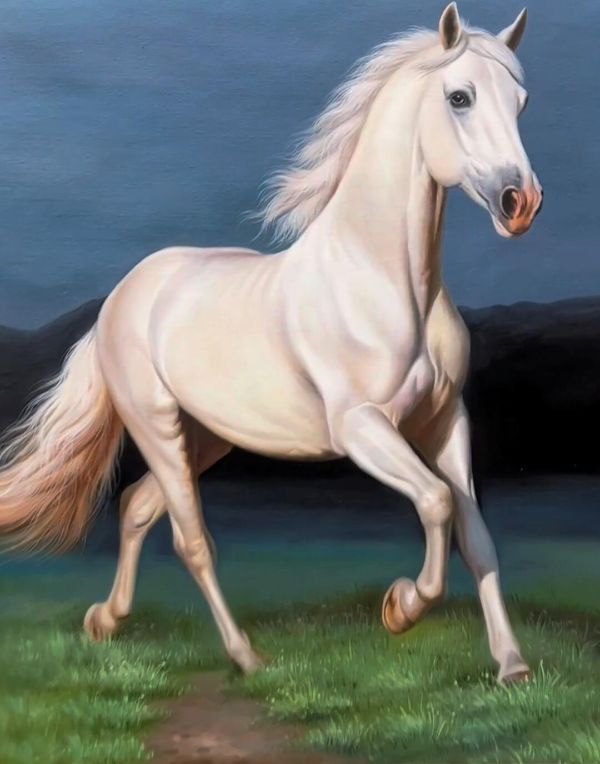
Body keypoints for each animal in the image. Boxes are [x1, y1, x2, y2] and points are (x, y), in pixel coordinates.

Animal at [0, 3, 542, 683]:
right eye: (460, 97)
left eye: (521, 102)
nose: (521, 203)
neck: (386, 282)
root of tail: (121, 298)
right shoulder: (362, 427)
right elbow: (437, 503)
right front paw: (400, 608)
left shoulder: (445, 421)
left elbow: (476, 535)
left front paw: (512, 667)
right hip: (156, 426)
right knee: (190, 539)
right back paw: (246, 656)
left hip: (206, 436)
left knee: (135, 505)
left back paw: (105, 620)